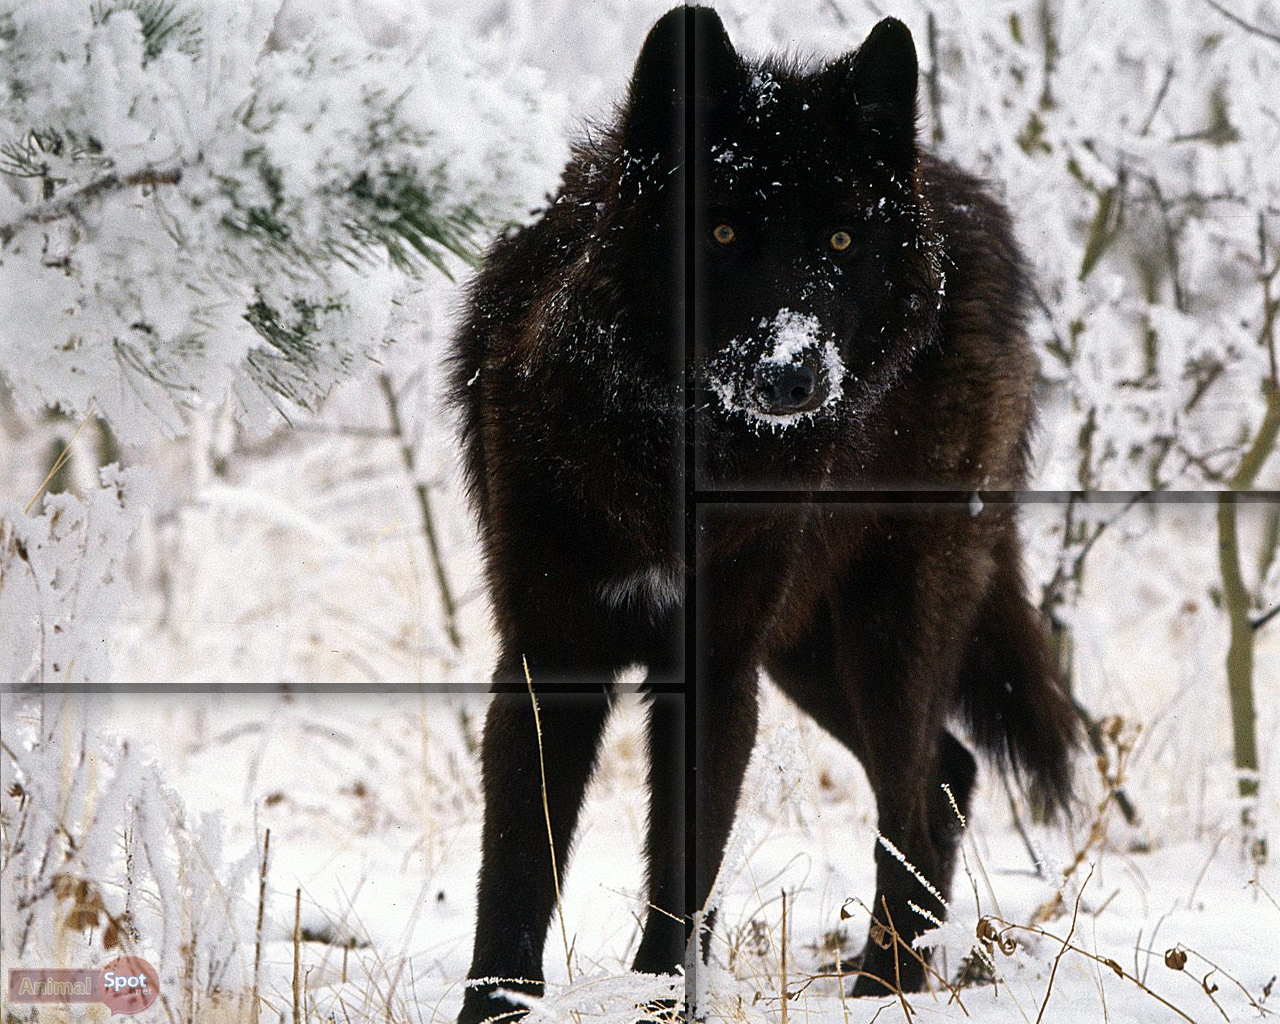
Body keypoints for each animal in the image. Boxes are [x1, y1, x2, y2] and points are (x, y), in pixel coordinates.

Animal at [452, 7, 1077, 1021]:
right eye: (723, 229)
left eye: (841, 244)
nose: (793, 375)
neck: (674, 458)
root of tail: (960, 192)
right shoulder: (550, 657)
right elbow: (514, 876)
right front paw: (497, 1010)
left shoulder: (715, 671)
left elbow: (684, 881)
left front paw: (665, 1003)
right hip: (807, 652)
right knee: (949, 772)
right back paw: (889, 980)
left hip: (885, 632)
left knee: (917, 793)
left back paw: (885, 986)